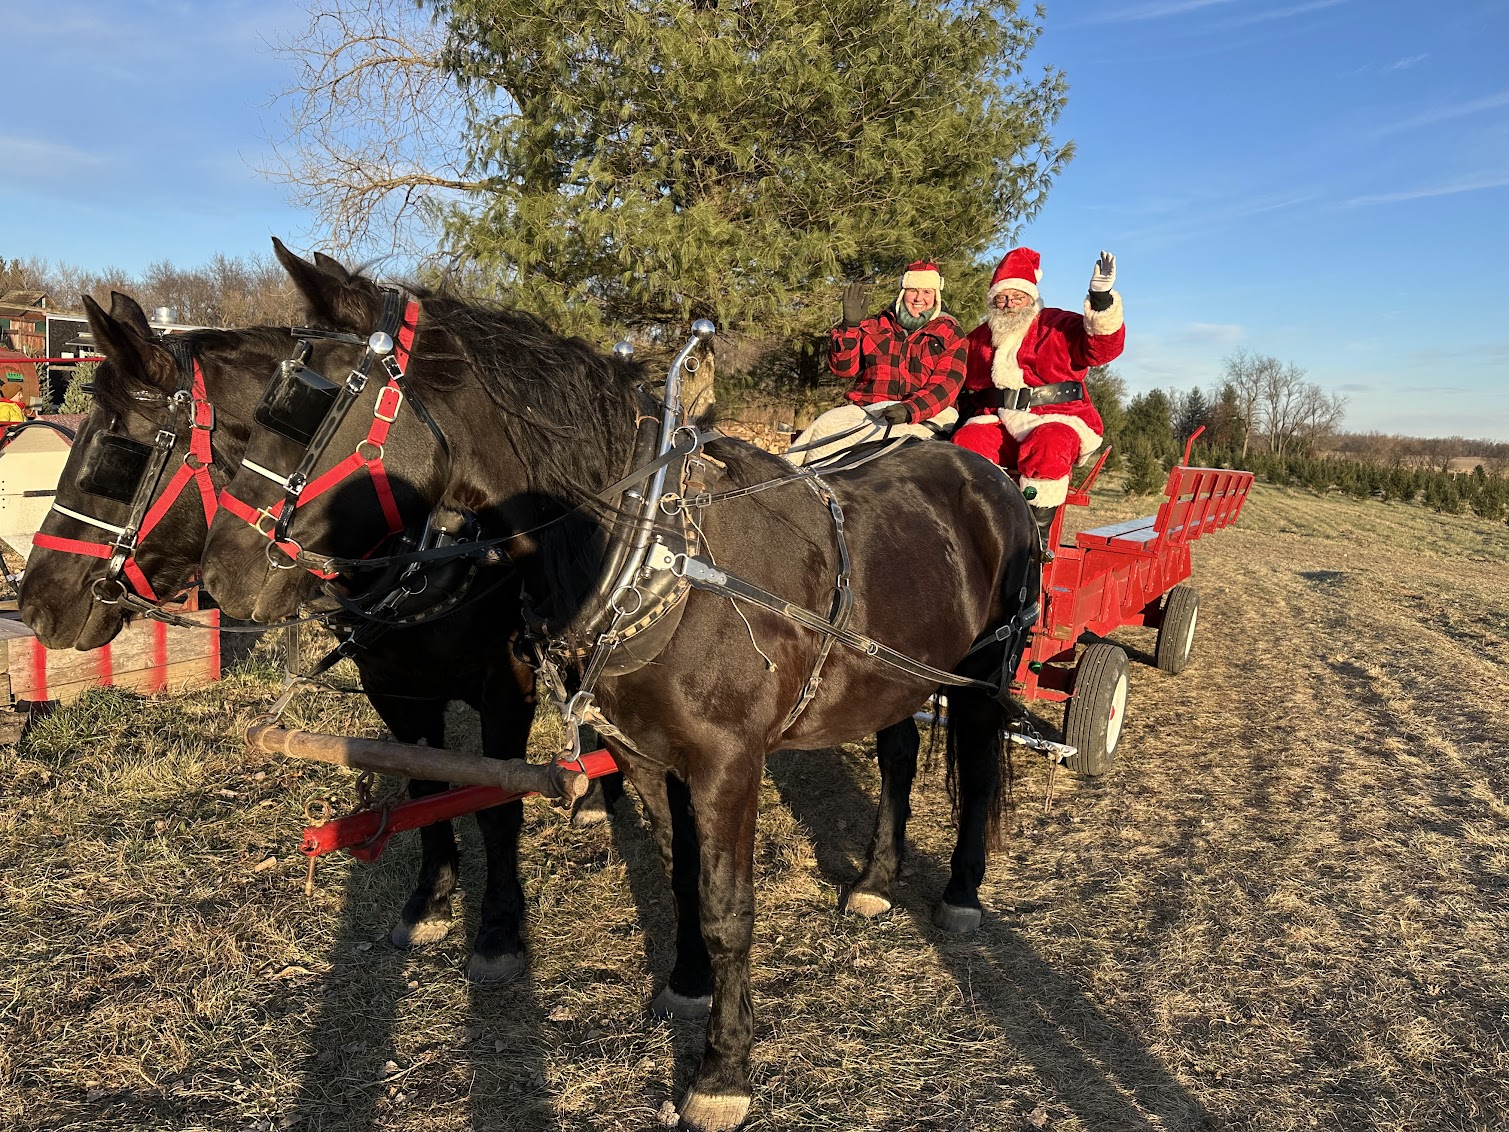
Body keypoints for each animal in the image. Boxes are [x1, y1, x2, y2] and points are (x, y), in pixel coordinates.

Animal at [17, 282, 598, 982]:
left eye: (113, 456)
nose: (35, 603)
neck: (426, 546)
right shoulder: (394, 689)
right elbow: (427, 785)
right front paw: (431, 899)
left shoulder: (506, 684)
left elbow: (498, 802)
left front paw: (499, 927)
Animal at [197, 244, 1038, 1132]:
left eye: (310, 402)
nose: (223, 578)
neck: (655, 551)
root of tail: (984, 473)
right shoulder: (645, 754)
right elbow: (678, 873)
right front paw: (688, 983)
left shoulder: (727, 765)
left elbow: (727, 907)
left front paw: (722, 1071)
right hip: (891, 674)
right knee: (898, 754)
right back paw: (876, 881)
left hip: (983, 673)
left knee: (978, 763)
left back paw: (961, 891)